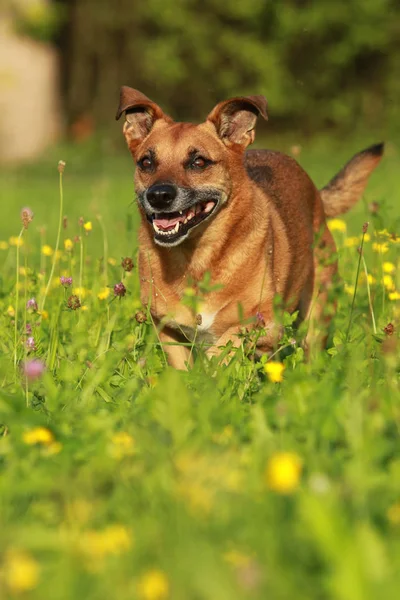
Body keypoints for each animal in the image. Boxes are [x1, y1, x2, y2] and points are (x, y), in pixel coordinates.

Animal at [115, 86, 382, 368]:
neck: (197, 258)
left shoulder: (266, 323)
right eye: (146, 163)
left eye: (198, 162)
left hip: (317, 311)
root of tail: (316, 196)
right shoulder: (167, 329)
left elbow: (225, 344)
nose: (158, 195)